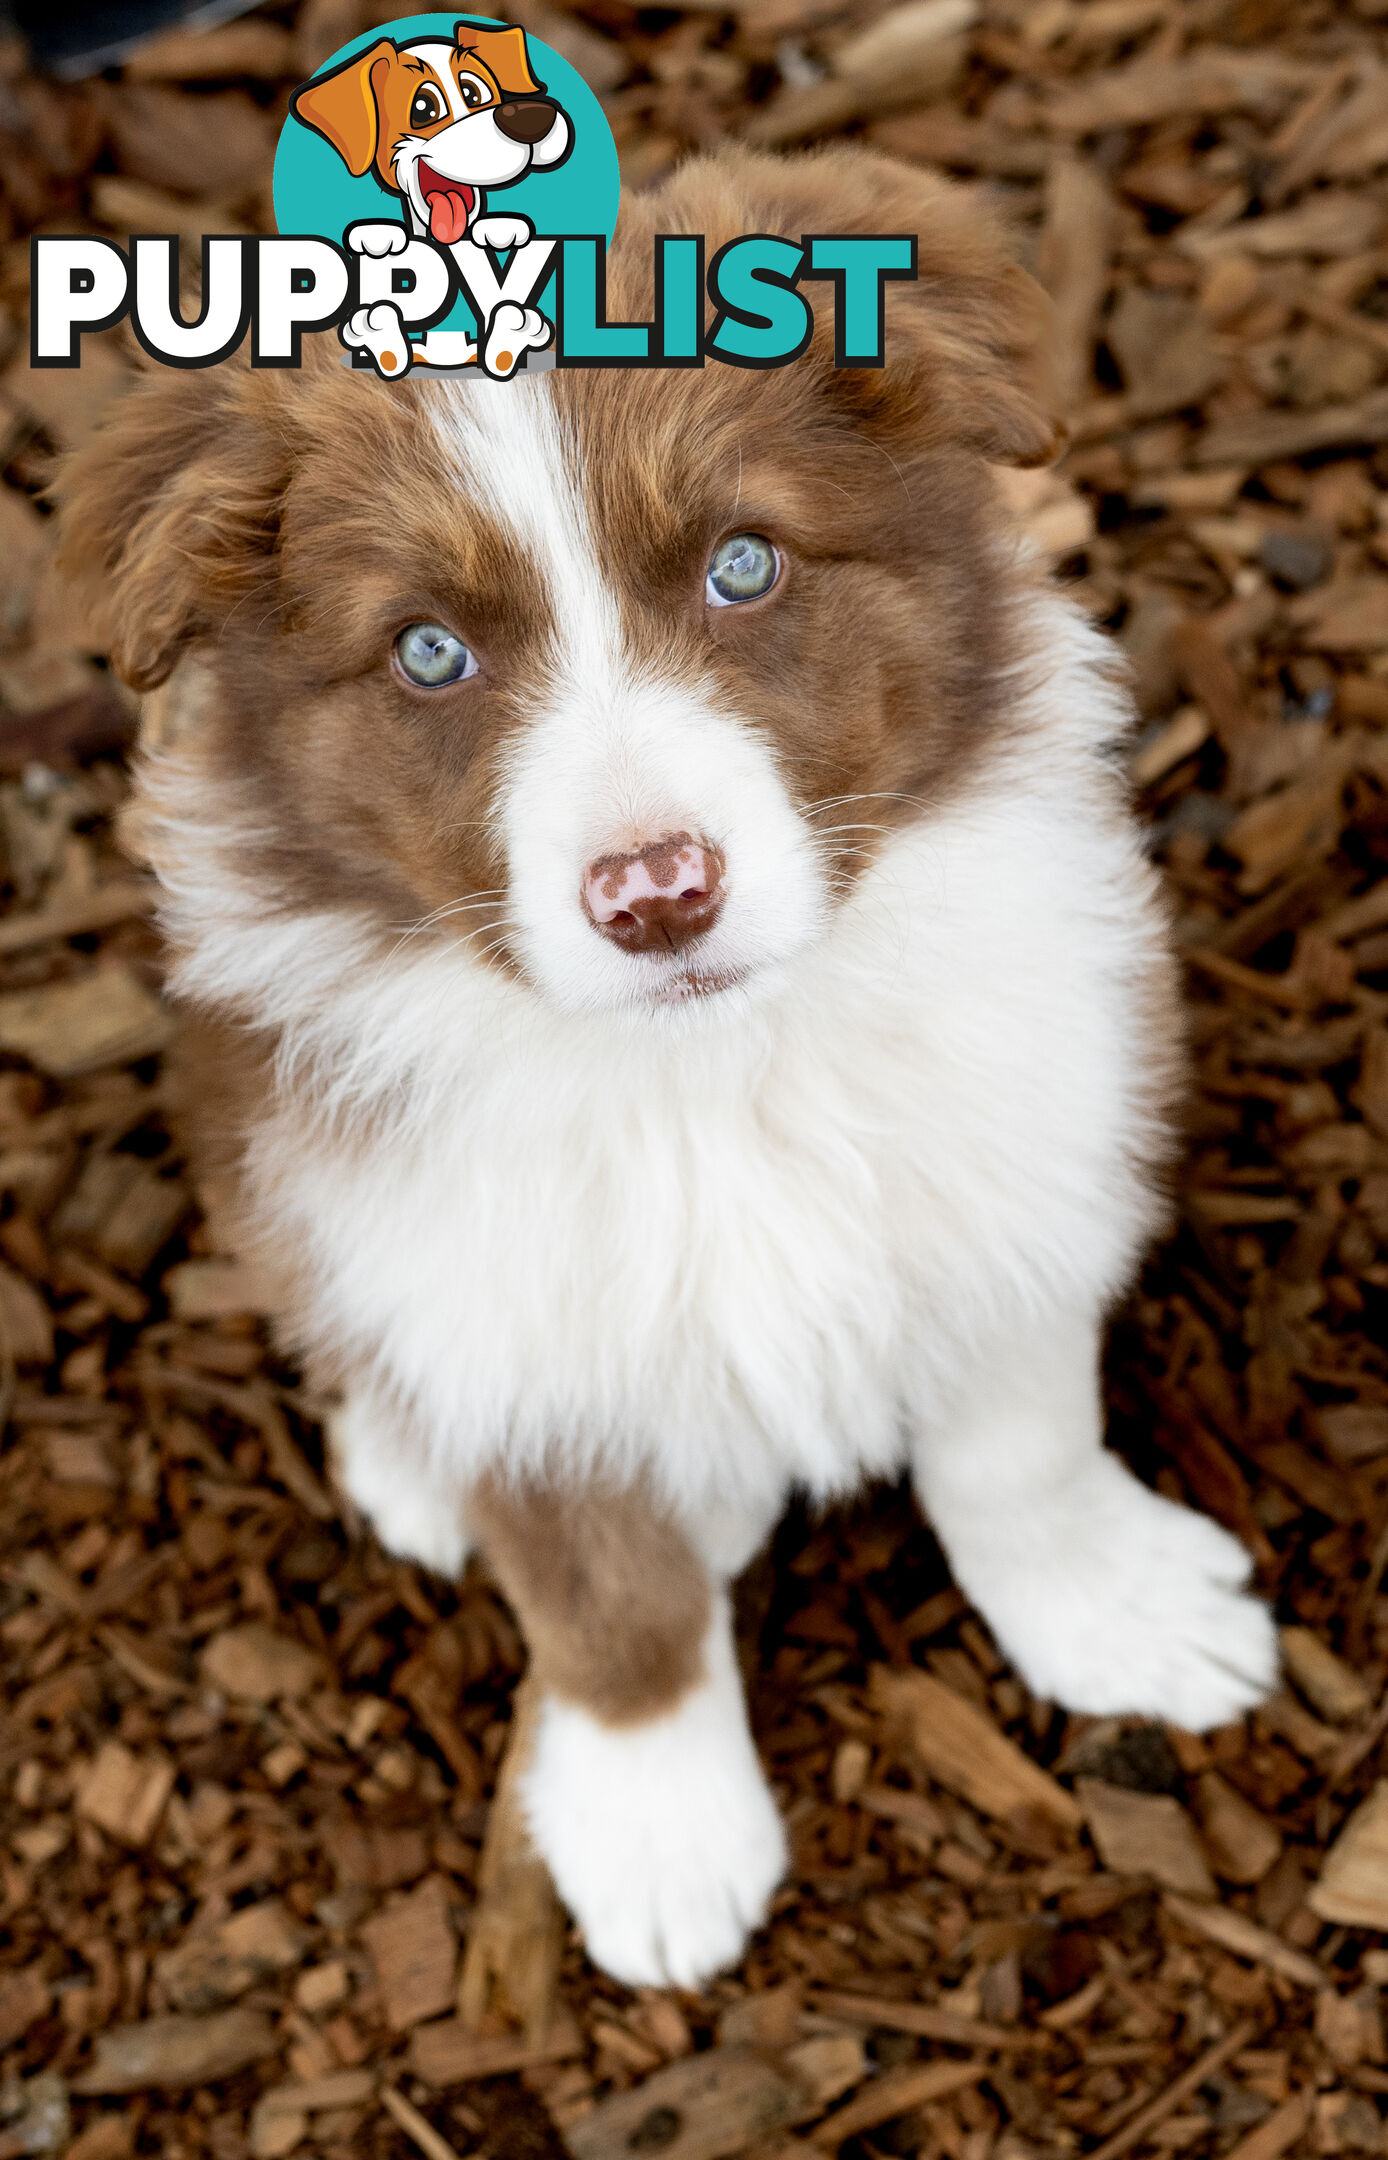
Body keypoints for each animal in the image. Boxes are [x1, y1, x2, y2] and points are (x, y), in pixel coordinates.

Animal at [65, 143, 1277, 1978]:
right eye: (429, 652)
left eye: (742, 567)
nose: (655, 896)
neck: (710, 1073)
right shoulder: (500, 1305)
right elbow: (604, 1594)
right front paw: (656, 1830)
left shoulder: (1010, 1154)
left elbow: (1017, 1441)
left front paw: (1114, 1606)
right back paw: (404, 1460)